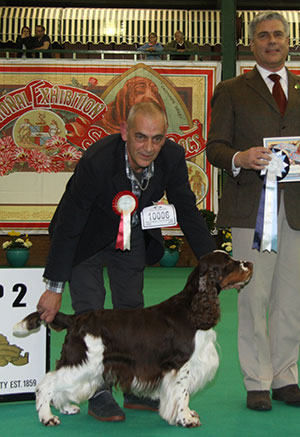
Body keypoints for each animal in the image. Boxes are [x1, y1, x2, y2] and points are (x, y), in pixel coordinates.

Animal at [13, 252, 253, 426]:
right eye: (229, 263)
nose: (250, 263)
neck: (192, 309)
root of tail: (76, 319)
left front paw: (186, 415)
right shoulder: (181, 364)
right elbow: (182, 393)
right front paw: (186, 418)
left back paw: (66, 408)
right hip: (84, 362)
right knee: (46, 383)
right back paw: (47, 417)